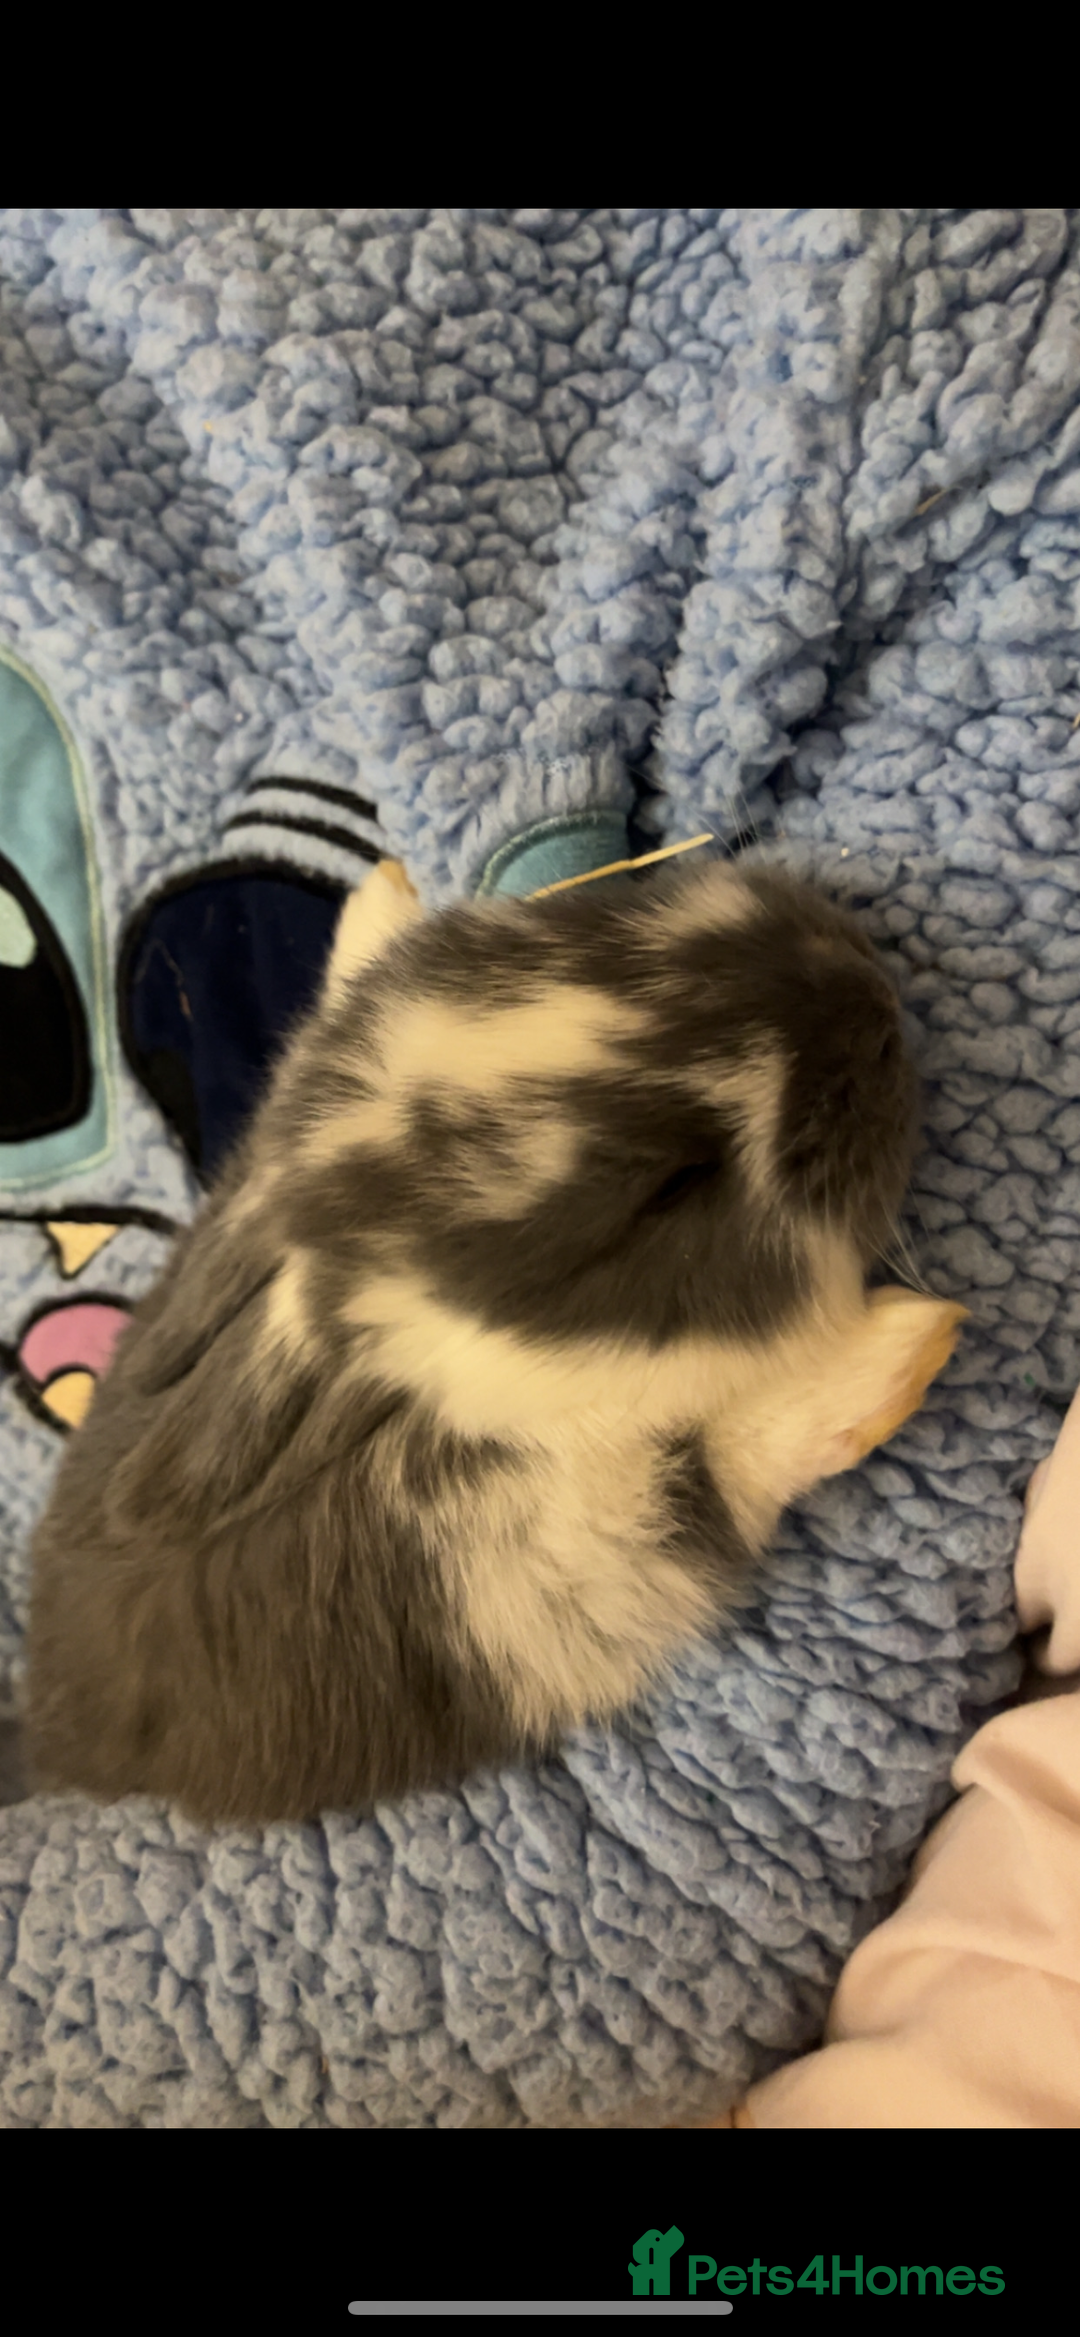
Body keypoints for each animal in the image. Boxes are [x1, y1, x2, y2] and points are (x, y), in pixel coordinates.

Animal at [23, 855, 965, 1827]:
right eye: (670, 1187)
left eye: (587, 925)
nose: (867, 990)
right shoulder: (576, 1550)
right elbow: (730, 1458)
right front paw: (913, 1340)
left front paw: (383, 895)